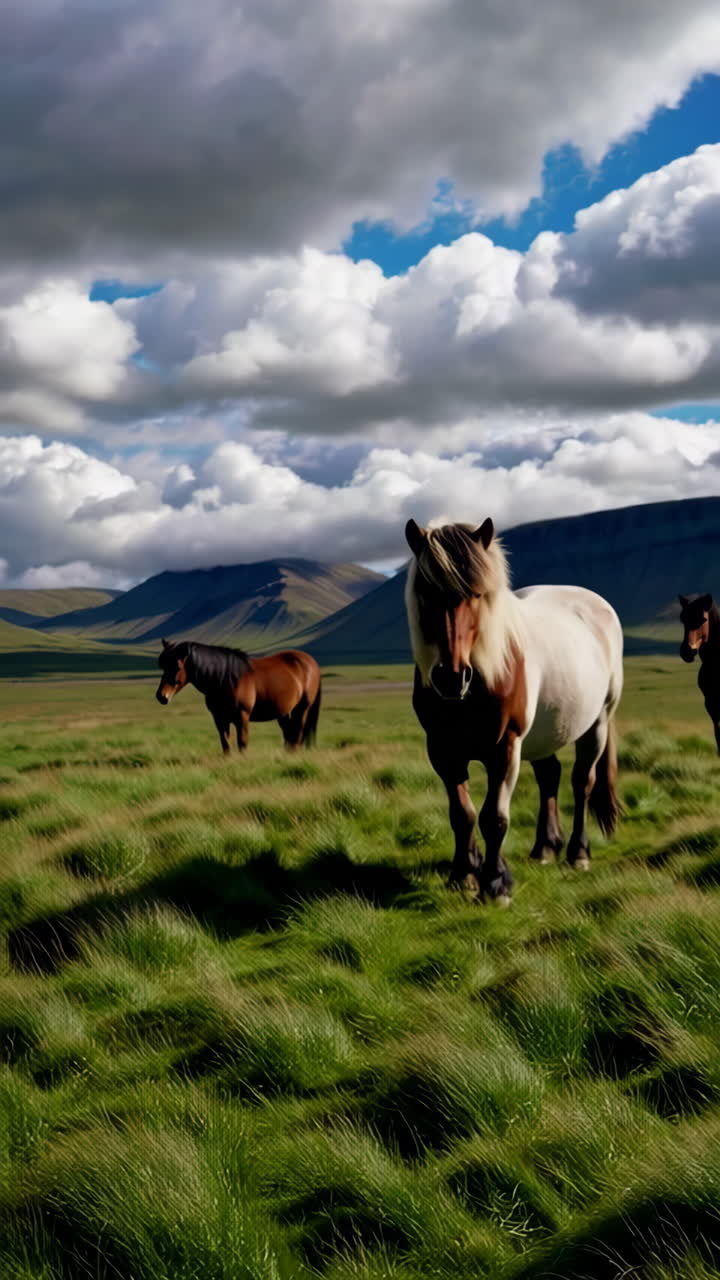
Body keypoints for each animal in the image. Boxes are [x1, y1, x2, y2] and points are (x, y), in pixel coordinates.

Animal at [156, 639, 321, 755]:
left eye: (177, 666)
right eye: (162, 666)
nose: (161, 696)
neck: (224, 679)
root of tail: (310, 662)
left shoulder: (242, 716)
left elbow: (242, 742)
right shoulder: (219, 718)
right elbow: (225, 743)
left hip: (303, 708)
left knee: (298, 731)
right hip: (283, 712)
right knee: (289, 733)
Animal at [404, 517, 624, 903]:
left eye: (477, 594)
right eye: (426, 593)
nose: (451, 678)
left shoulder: (505, 748)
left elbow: (494, 817)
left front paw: (495, 882)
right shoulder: (443, 750)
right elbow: (462, 814)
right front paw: (464, 875)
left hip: (596, 724)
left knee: (582, 781)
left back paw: (578, 853)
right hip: (545, 732)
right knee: (550, 775)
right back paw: (545, 848)